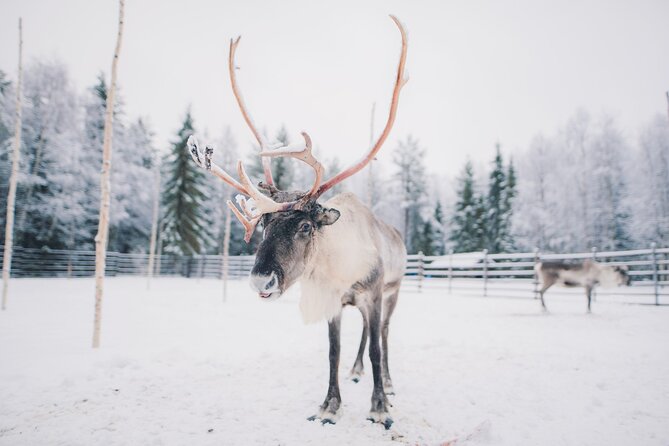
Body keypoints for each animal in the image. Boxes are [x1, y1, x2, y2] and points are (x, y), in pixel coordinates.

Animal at [187, 16, 408, 429]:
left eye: (306, 226)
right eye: (263, 224)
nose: (262, 280)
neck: (340, 265)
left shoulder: (372, 293)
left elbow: (375, 347)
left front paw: (379, 406)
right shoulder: (335, 300)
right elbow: (333, 351)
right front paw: (329, 405)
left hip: (394, 290)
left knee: (383, 334)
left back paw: (387, 381)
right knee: (364, 335)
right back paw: (357, 372)